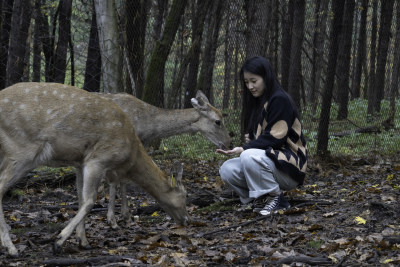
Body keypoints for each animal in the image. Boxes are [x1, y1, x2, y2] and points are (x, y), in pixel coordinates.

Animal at [0, 82, 189, 258]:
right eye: (184, 196)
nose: (186, 220)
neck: (131, 152)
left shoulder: (79, 163)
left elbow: (81, 199)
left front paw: (83, 241)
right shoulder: (98, 159)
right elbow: (90, 200)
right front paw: (59, 241)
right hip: (21, 150)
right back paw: (12, 248)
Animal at [99, 91, 231, 229]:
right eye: (218, 121)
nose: (228, 143)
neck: (147, 126)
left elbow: (123, 180)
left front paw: (126, 217)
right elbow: (117, 180)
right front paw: (114, 219)